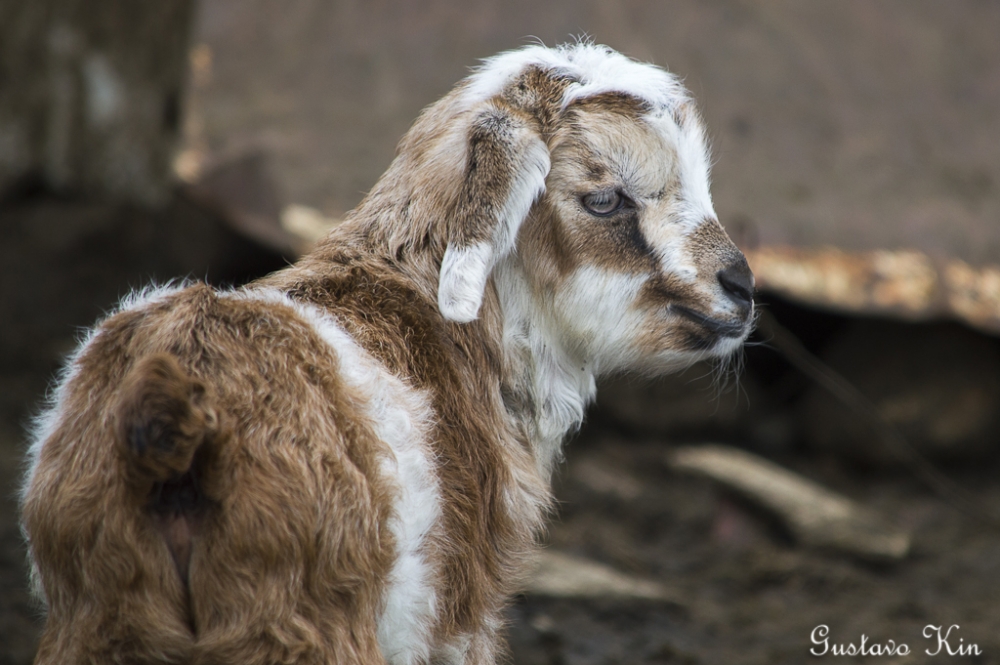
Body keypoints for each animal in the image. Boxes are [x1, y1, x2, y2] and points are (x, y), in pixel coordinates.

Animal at [21, 44, 752, 660]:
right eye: (604, 198)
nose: (741, 285)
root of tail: (174, 412)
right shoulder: (461, 616)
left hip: (101, 611)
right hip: (298, 623)